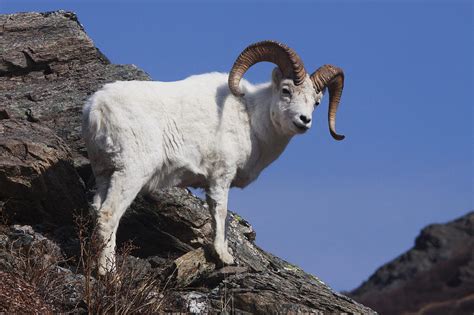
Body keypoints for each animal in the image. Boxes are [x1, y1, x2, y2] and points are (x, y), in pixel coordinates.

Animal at [83, 40, 346, 276]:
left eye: (317, 102)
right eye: (286, 90)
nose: (304, 120)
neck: (251, 118)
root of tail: (96, 109)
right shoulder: (220, 177)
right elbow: (220, 213)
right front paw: (225, 256)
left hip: (105, 173)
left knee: (96, 210)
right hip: (131, 173)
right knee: (108, 215)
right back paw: (109, 274)